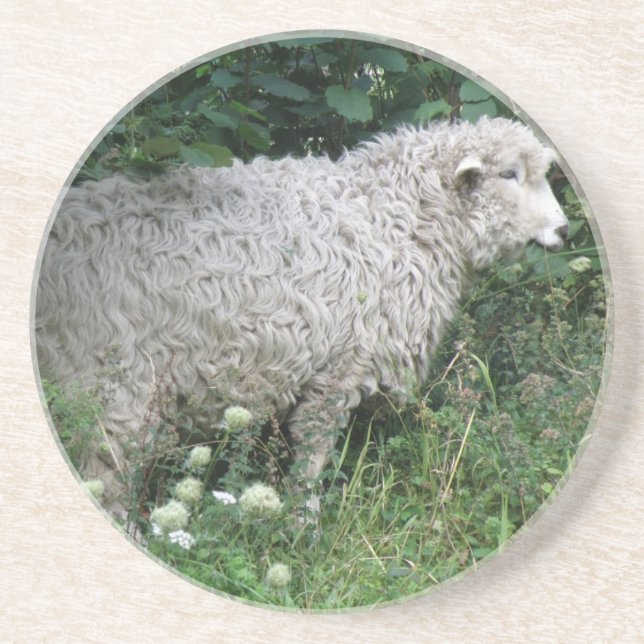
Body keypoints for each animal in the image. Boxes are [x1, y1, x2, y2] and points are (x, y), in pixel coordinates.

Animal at [35, 117, 569, 518]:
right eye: (509, 174)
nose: (564, 230)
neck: (397, 217)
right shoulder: (341, 367)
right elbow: (312, 454)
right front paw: (303, 524)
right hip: (113, 378)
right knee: (106, 472)